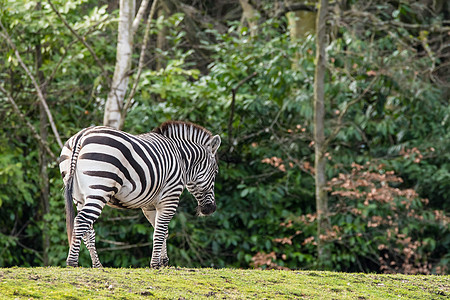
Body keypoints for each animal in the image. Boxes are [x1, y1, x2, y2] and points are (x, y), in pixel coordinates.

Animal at [59, 120, 221, 268]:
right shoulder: (170, 197)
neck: (181, 159)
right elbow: (160, 231)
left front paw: (163, 262)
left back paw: (98, 266)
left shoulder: (150, 206)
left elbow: (162, 231)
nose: (211, 209)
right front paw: (155, 264)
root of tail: (81, 136)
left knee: (88, 230)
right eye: (216, 172)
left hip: (79, 196)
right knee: (81, 221)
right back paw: (72, 263)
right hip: (100, 188)